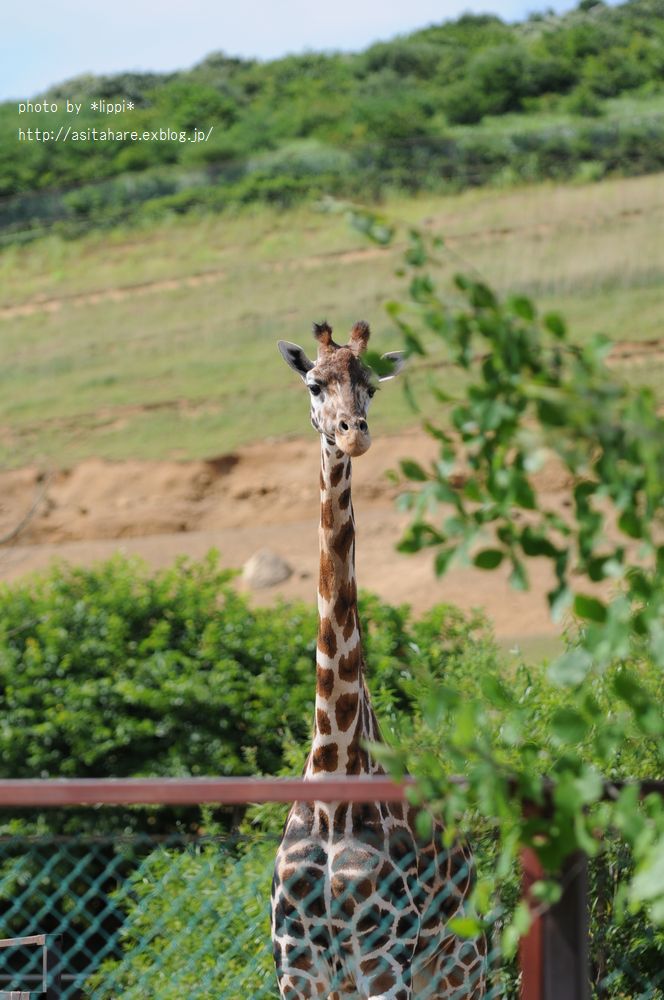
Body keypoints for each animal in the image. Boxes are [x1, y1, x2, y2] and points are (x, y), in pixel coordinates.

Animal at [272, 322, 488, 1000]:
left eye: (370, 385)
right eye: (316, 383)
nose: (353, 432)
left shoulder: (382, 956)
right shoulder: (296, 963)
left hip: (460, 973)